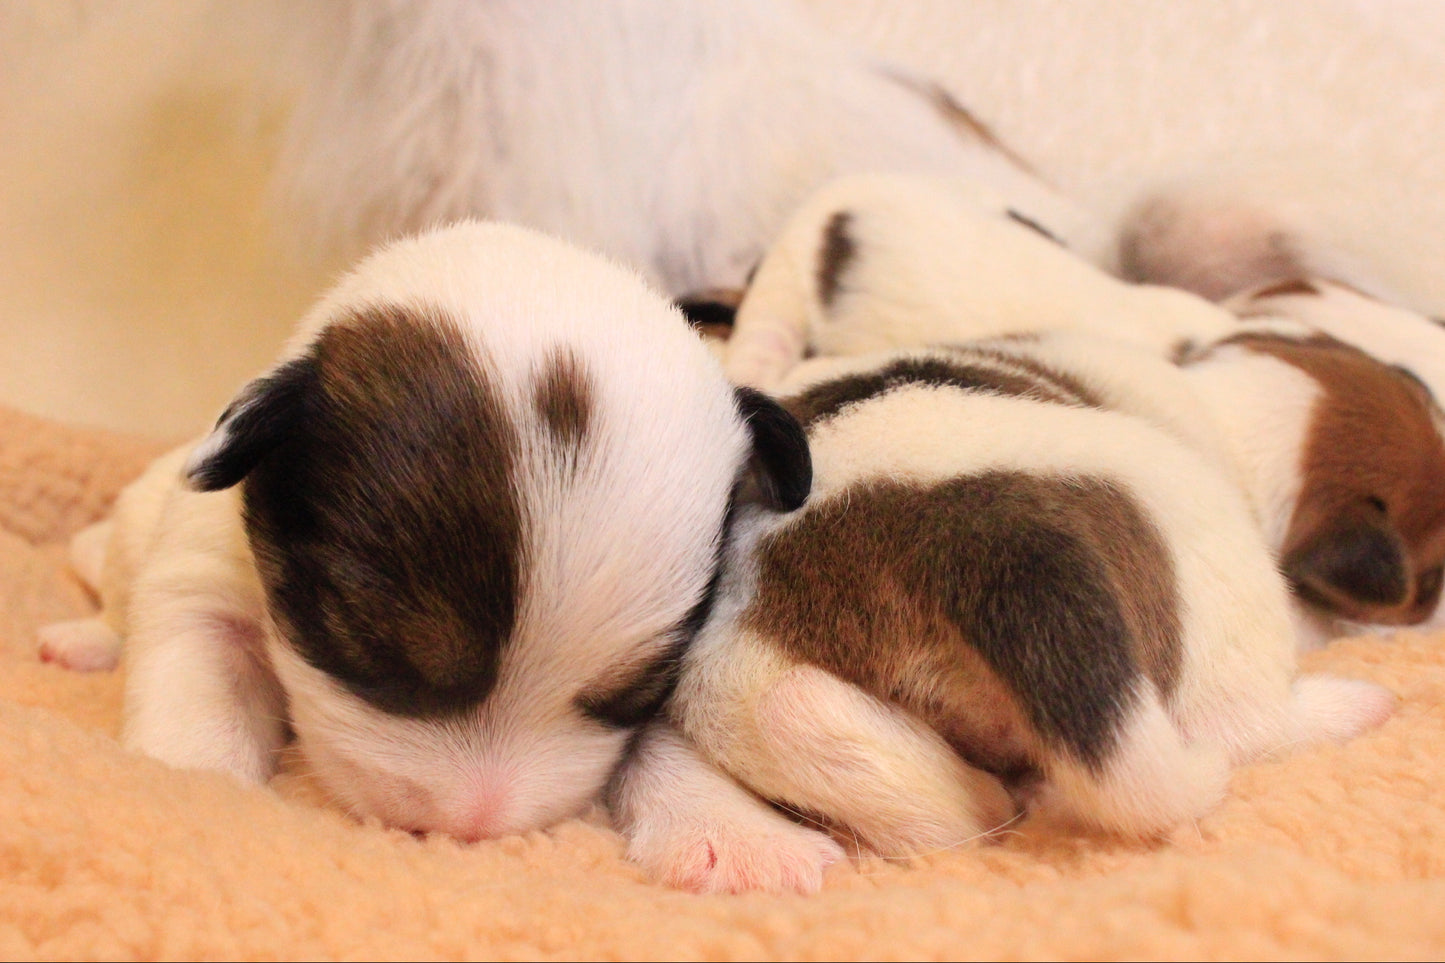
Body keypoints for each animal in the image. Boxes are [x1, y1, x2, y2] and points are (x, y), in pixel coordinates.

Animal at [39, 216, 814, 838]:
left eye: (638, 692)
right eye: (366, 642)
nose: (470, 827)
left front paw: (734, 831)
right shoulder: (203, 580)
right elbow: (198, 686)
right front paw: (194, 790)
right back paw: (80, 641)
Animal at [615, 339, 1392, 890]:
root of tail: (958, 529)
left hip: (741, 673)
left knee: (802, 716)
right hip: (1213, 596)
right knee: (1241, 728)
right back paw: (1353, 705)